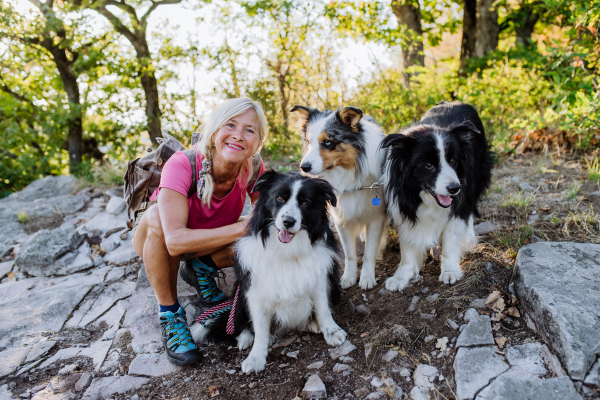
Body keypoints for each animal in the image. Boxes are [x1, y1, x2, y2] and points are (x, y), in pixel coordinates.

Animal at [190, 170, 344, 374]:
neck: (287, 252)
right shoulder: (254, 291)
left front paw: (331, 331)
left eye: (305, 203)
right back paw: (246, 337)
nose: (288, 222)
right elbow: (261, 329)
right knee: (241, 322)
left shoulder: (319, 279)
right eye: (280, 198)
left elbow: (323, 309)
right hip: (240, 292)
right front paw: (256, 357)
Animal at [292, 104, 390, 290]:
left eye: (327, 143)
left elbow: (369, 252)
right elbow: (349, 253)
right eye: (308, 141)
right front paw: (349, 277)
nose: (304, 167)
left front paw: (367, 277)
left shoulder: (376, 217)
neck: (349, 172)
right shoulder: (341, 218)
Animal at [382, 101, 494, 292]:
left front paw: (450, 271)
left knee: (470, 205)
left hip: (478, 172)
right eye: (428, 165)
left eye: (453, 161)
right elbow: (408, 243)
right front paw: (401, 276)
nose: (454, 188)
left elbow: (451, 236)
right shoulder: (403, 204)